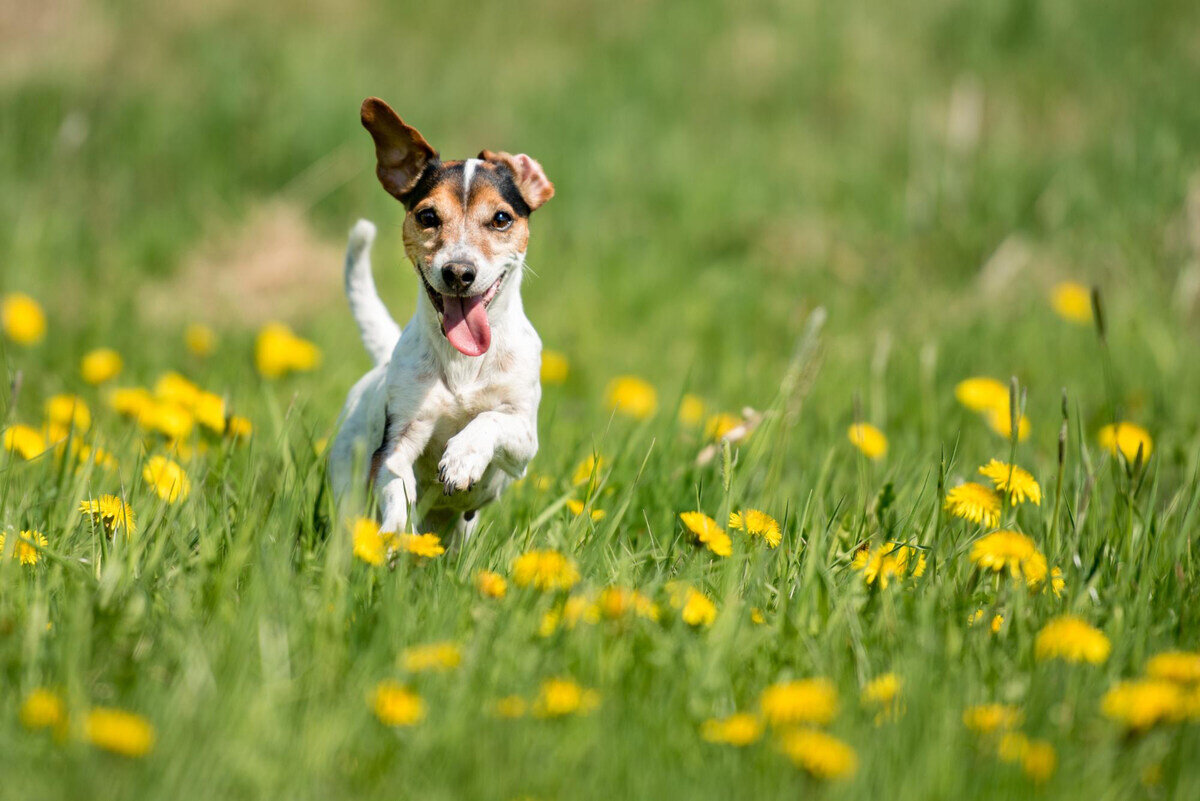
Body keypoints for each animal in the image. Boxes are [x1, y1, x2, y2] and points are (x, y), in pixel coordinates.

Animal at [328, 97, 552, 541]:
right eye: (428, 216)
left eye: (501, 219)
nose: (459, 272)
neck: (464, 363)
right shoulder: (397, 441)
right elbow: (397, 483)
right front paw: (395, 532)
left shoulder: (523, 440)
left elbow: (489, 419)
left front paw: (464, 455)